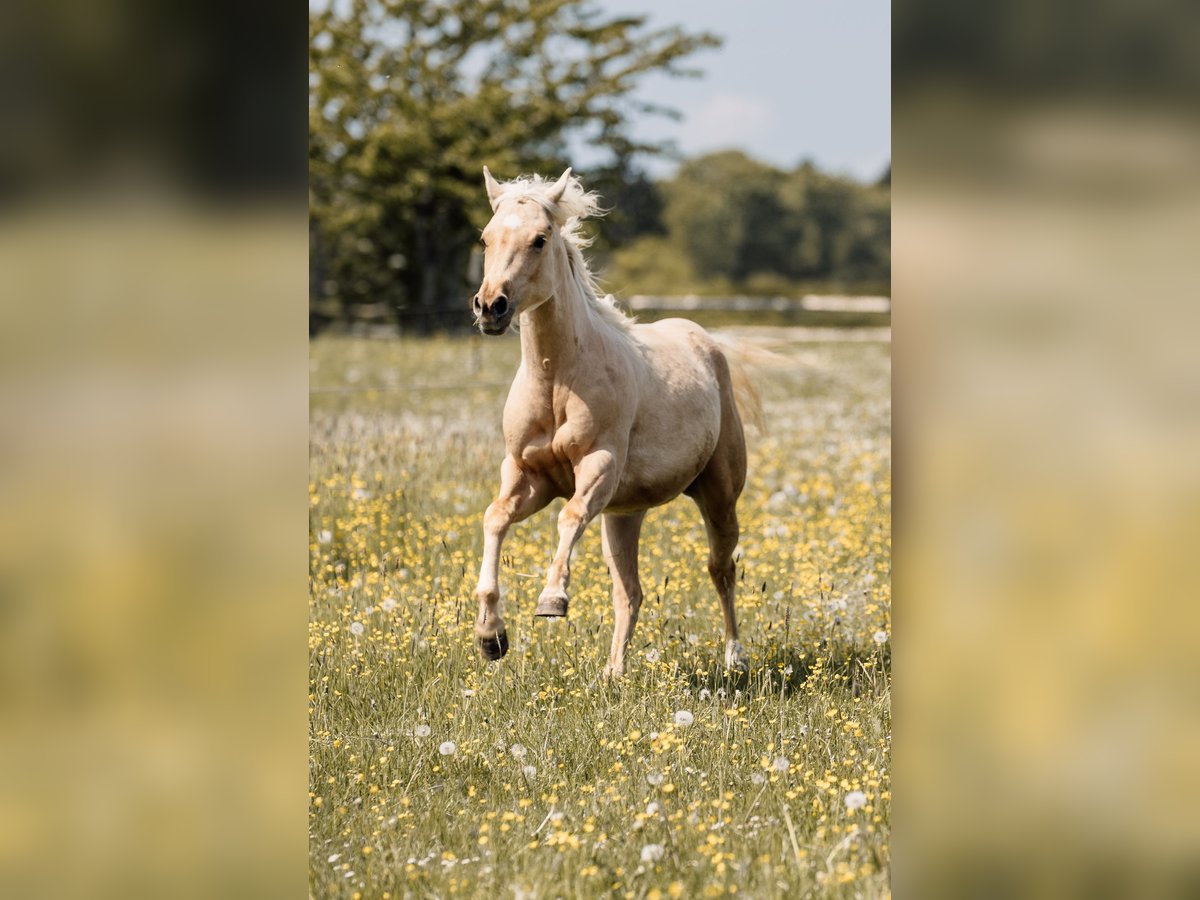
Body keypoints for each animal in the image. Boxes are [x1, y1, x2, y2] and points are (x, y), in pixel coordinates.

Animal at [469, 167, 762, 677]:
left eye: (540, 239)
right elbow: (495, 518)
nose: (491, 307)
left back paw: (735, 659)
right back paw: (613, 673)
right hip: (624, 515)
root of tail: (705, 342)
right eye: (486, 238)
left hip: (719, 494)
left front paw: (552, 600)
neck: (558, 380)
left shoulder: (598, 466)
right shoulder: (527, 475)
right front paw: (491, 637)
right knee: (630, 592)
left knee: (721, 569)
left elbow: (568, 518)